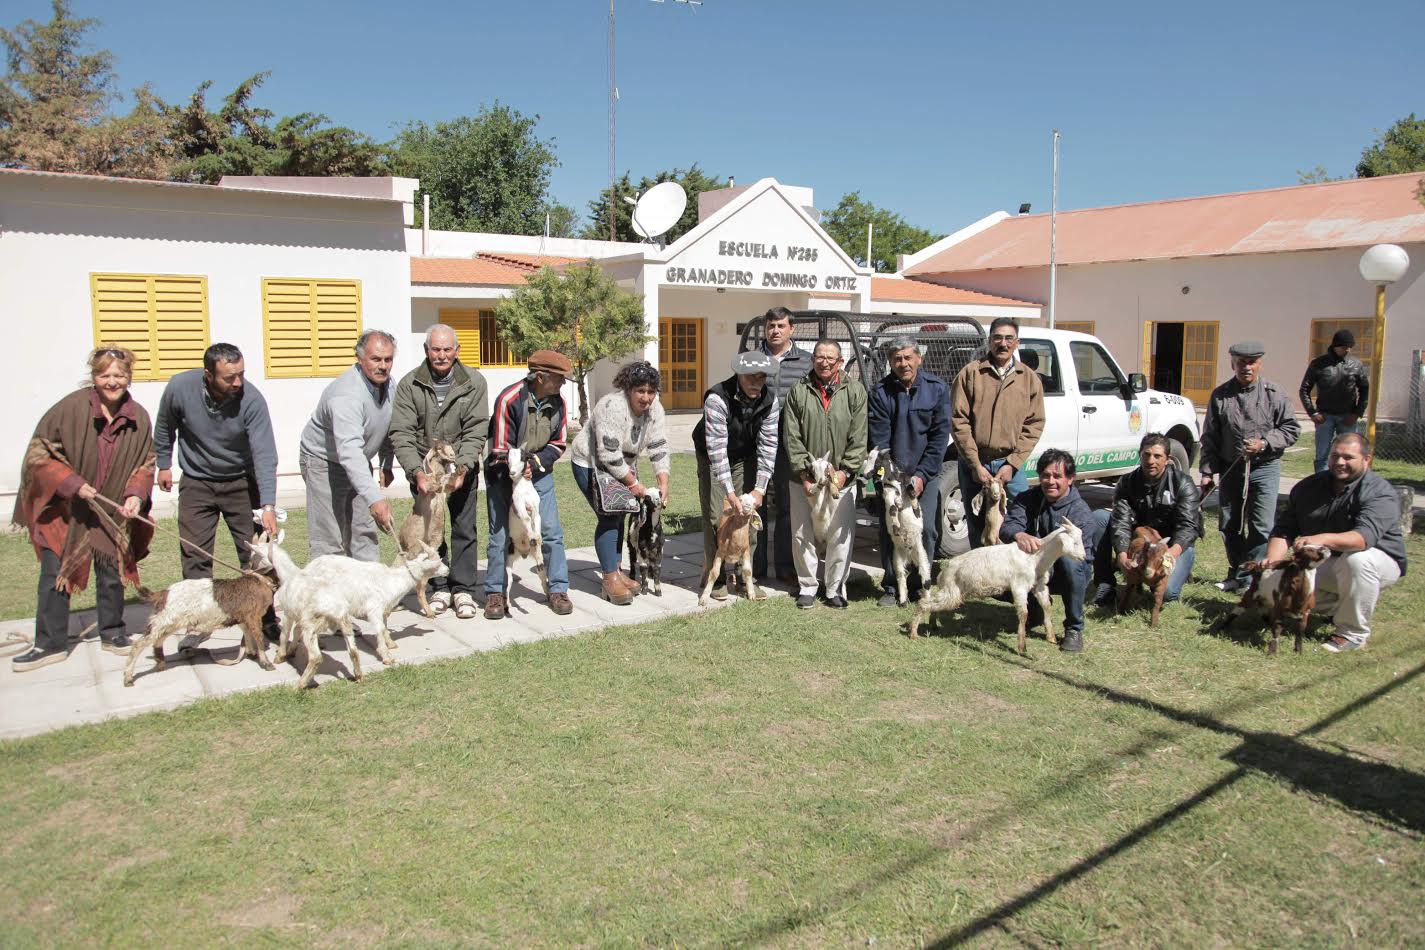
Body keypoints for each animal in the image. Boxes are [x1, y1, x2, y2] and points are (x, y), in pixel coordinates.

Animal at [275, 541, 447, 692]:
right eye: (438, 563)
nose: (447, 570)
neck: (393, 580)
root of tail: (307, 567)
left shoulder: (383, 608)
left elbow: (385, 626)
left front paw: (390, 643)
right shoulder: (374, 608)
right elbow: (379, 629)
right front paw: (386, 655)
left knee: (298, 628)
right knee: (292, 629)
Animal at [507, 447, 550, 609]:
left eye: (523, 458)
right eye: (507, 459)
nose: (512, 473)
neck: (524, 491)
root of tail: (523, 552)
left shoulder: (536, 511)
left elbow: (536, 524)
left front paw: (537, 539)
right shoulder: (520, 508)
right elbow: (525, 519)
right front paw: (532, 536)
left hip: (537, 560)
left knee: (542, 575)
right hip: (509, 560)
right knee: (508, 582)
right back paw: (507, 605)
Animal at [912, 521, 1088, 655]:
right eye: (1075, 542)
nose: (1084, 557)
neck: (1035, 557)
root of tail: (944, 572)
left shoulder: (1039, 585)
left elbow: (1046, 606)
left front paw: (1051, 637)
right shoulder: (1019, 586)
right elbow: (1023, 613)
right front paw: (1022, 646)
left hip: (950, 592)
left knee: (932, 604)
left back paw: (933, 624)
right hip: (952, 592)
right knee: (923, 603)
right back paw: (914, 633)